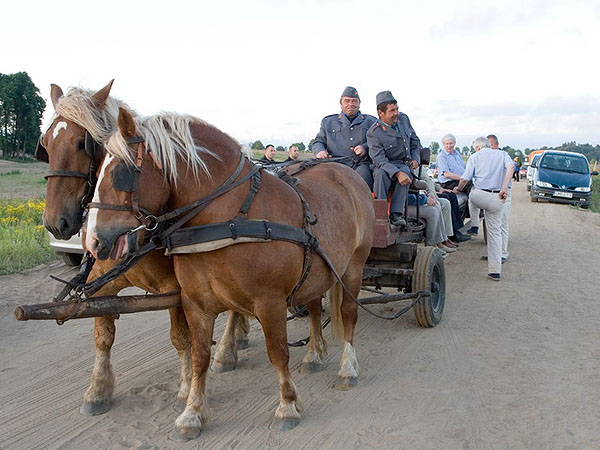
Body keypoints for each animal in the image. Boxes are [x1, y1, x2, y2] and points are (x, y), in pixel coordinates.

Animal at [37, 80, 250, 414]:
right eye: (45, 143)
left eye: (82, 143)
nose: (56, 222)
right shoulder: (101, 283)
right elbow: (103, 336)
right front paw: (97, 390)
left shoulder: (175, 288)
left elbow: (181, 338)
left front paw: (186, 388)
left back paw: (227, 350)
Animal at [85, 106, 376, 440]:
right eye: (96, 170)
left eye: (120, 172)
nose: (92, 241)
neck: (229, 217)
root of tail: (346, 172)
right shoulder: (195, 304)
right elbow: (199, 357)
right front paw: (191, 414)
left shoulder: (270, 303)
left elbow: (278, 353)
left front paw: (288, 405)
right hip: (318, 270)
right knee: (315, 307)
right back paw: (314, 355)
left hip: (353, 266)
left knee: (349, 312)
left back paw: (348, 368)